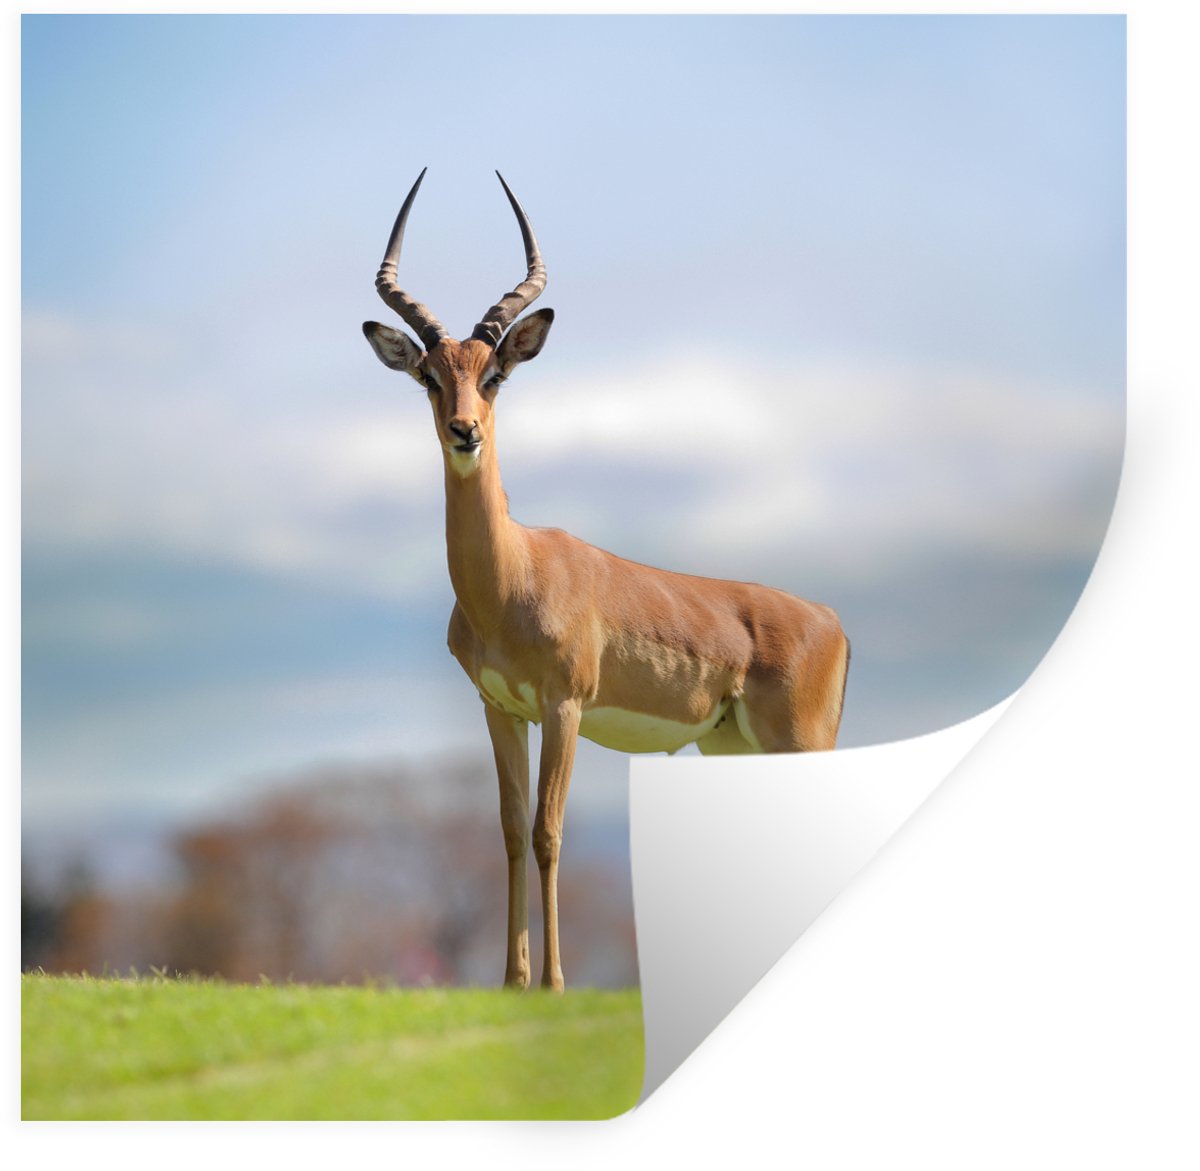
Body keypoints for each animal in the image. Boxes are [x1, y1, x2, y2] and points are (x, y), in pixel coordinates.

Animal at [363, 170, 850, 991]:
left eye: (495, 374)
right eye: (429, 376)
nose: (466, 431)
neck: (512, 580)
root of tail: (832, 620)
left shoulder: (565, 705)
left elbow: (548, 830)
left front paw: (555, 983)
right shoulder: (502, 709)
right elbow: (508, 829)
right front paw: (513, 982)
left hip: (801, 743)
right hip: (734, 751)